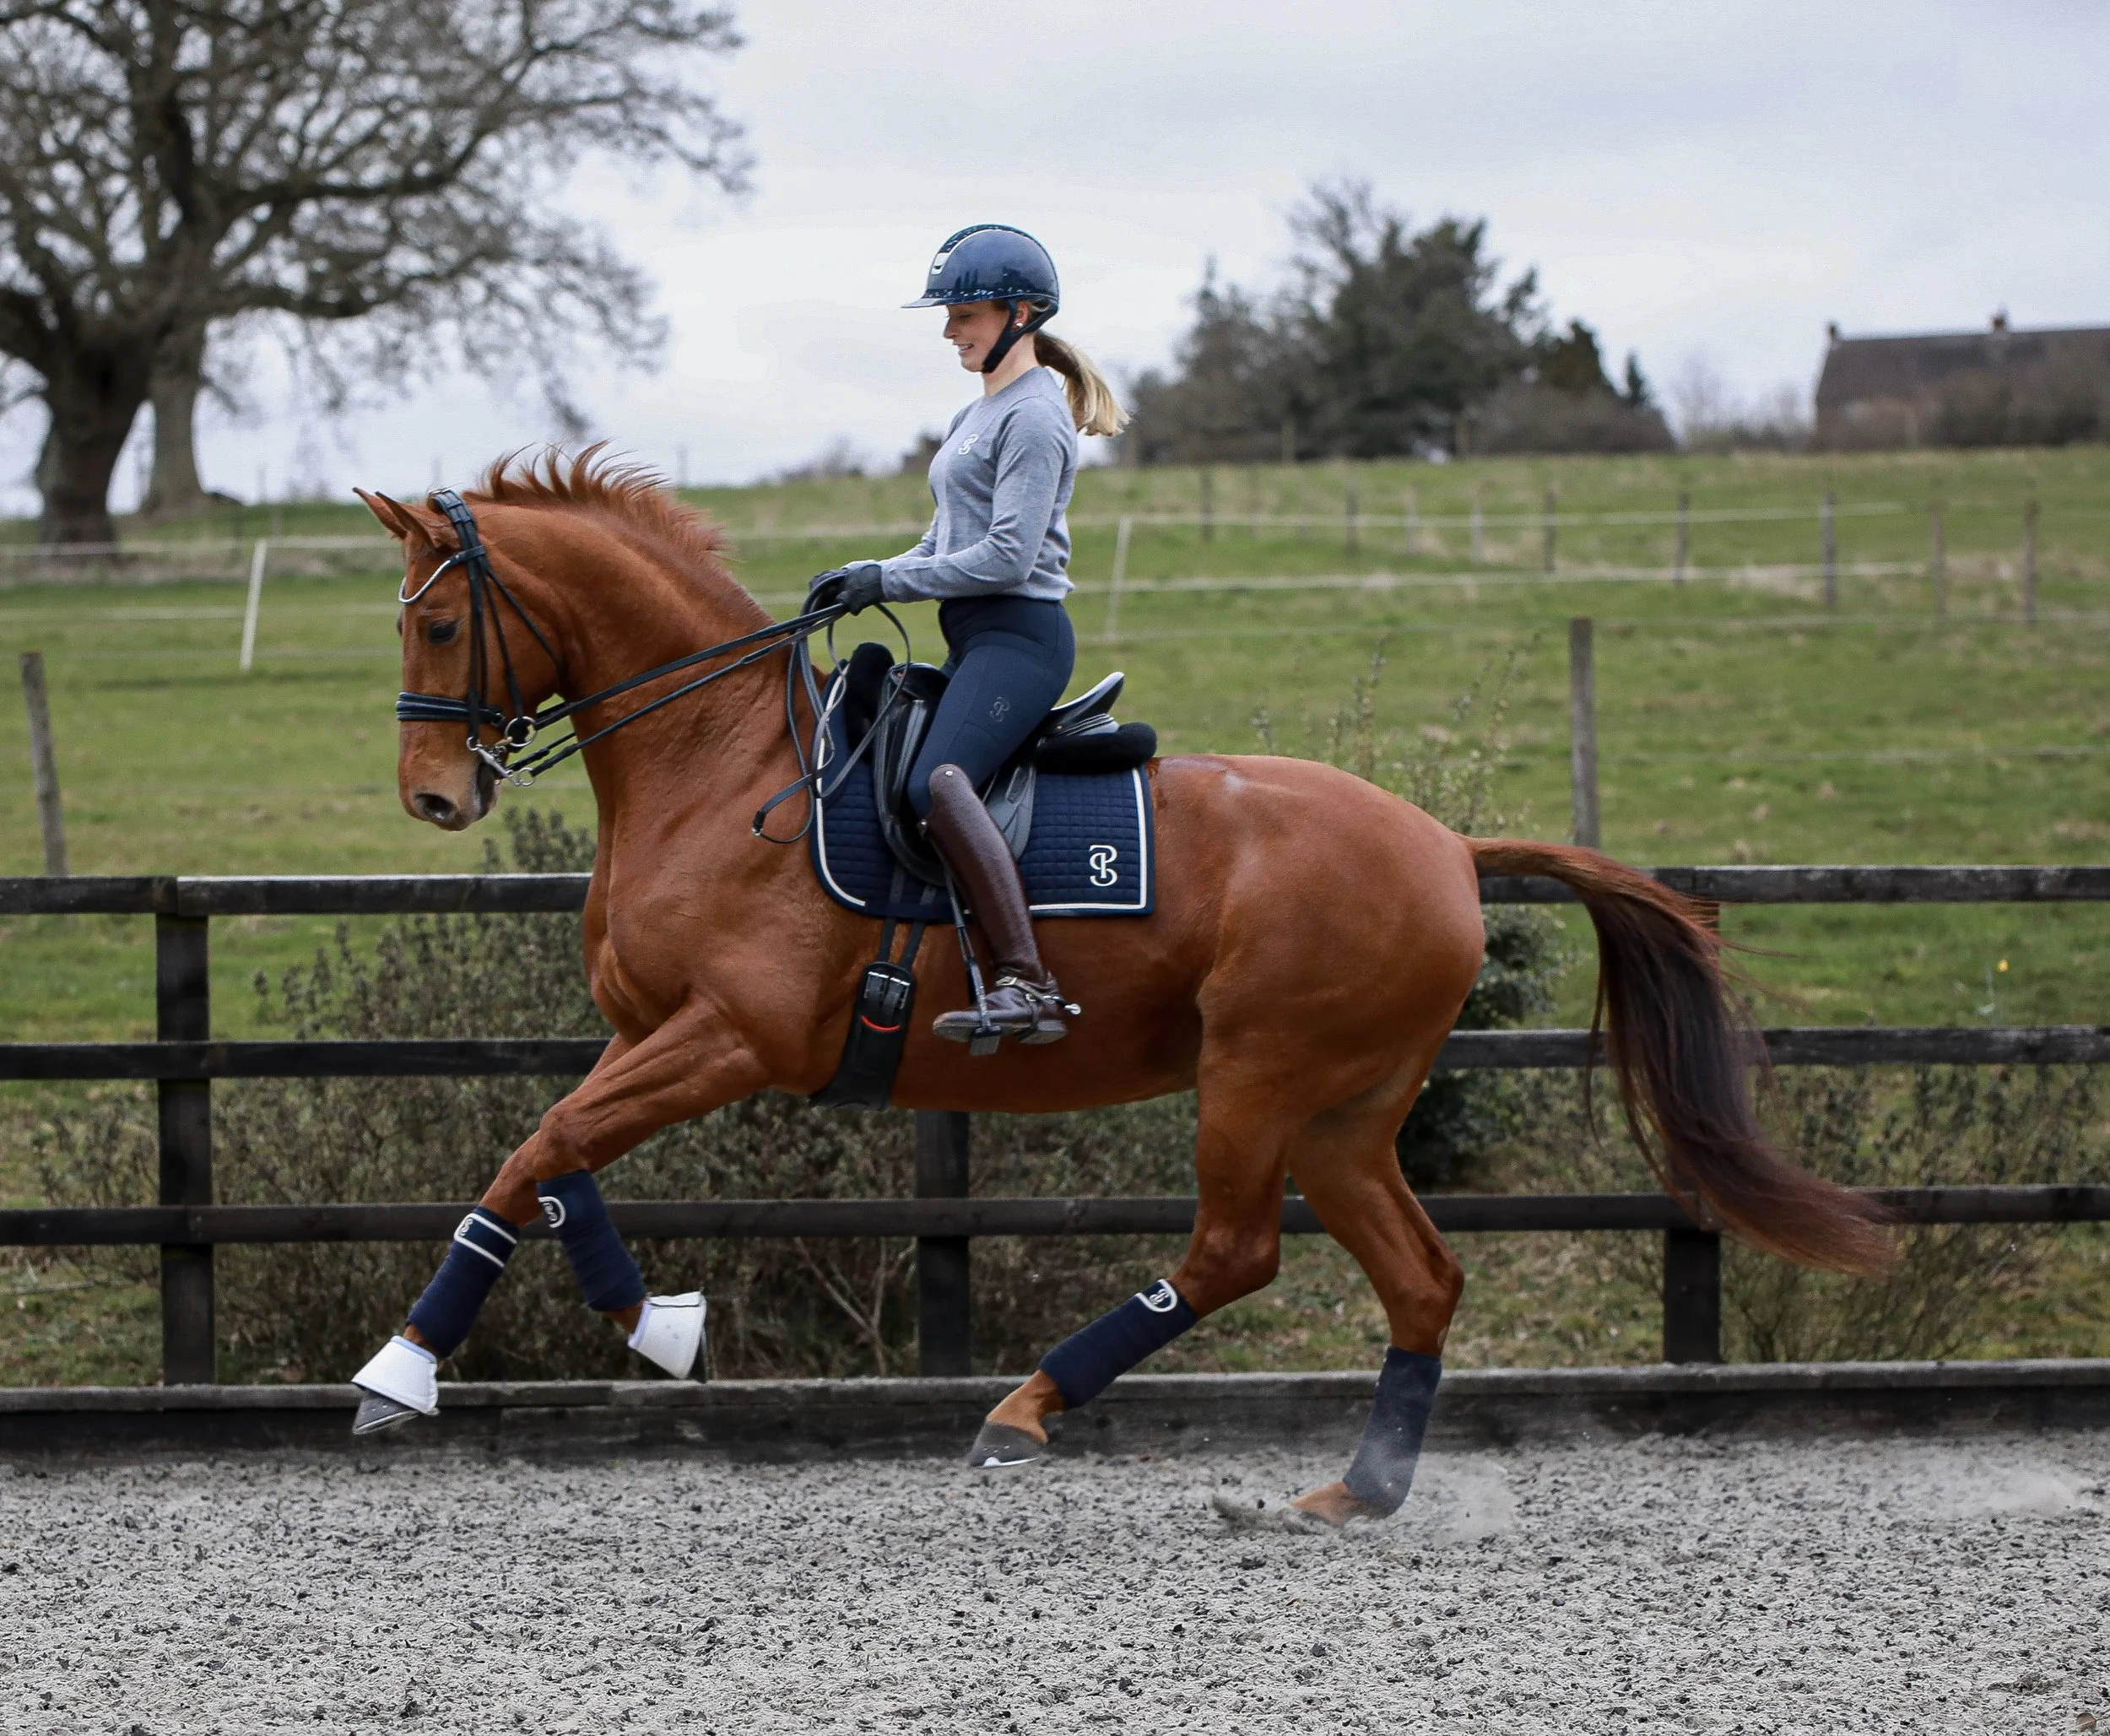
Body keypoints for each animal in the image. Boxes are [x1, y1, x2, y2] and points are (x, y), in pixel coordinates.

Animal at [356, 450, 1894, 1525]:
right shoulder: (646, 1029)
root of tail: (1447, 847)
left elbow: (543, 1145)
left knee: (1234, 1253)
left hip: (1260, 1076)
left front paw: (402, 1370)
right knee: (1420, 1274)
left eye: (438, 630)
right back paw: (1358, 1491)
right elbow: (554, 1159)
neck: (719, 761)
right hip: (1345, 1111)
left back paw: (1028, 1409)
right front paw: (657, 1325)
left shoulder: (737, 1036)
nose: (431, 796)